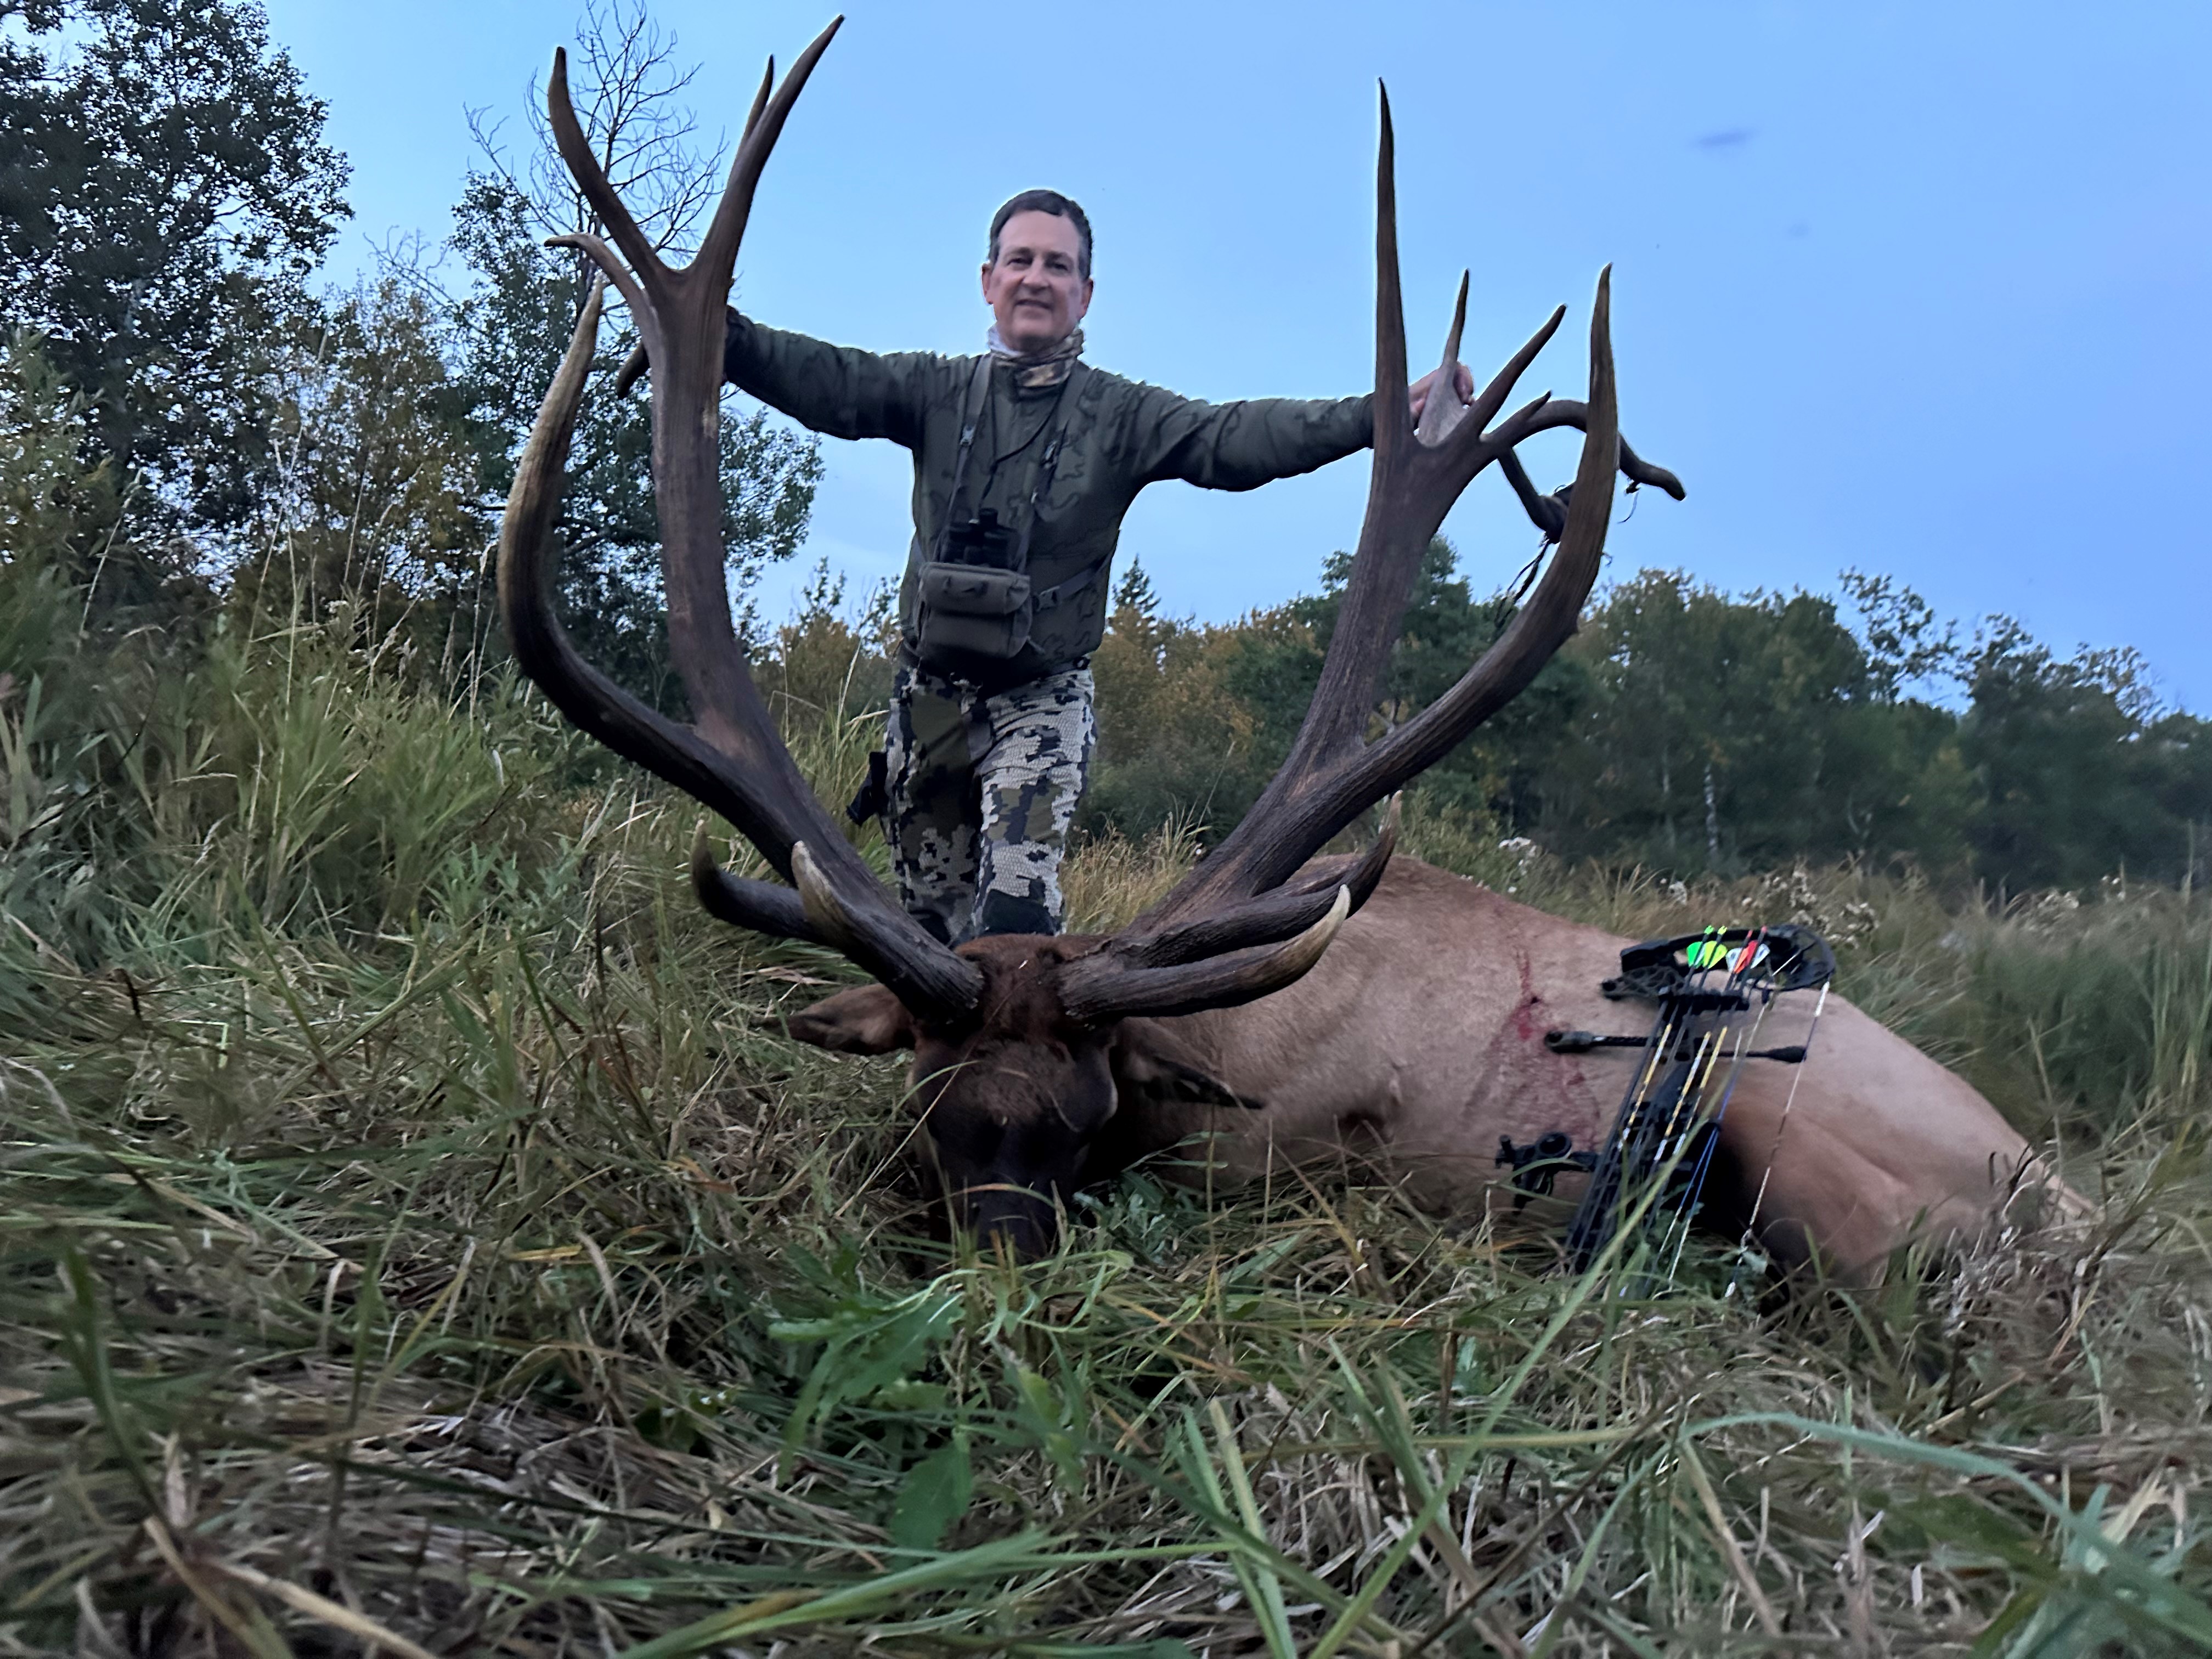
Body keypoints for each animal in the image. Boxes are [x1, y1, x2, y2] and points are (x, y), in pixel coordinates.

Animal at [500, 18, 2061, 1278]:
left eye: (1086, 1117)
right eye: (935, 1111)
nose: (1002, 1274)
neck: (1209, 1055)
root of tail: (2060, 1196)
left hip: (1811, 1164)